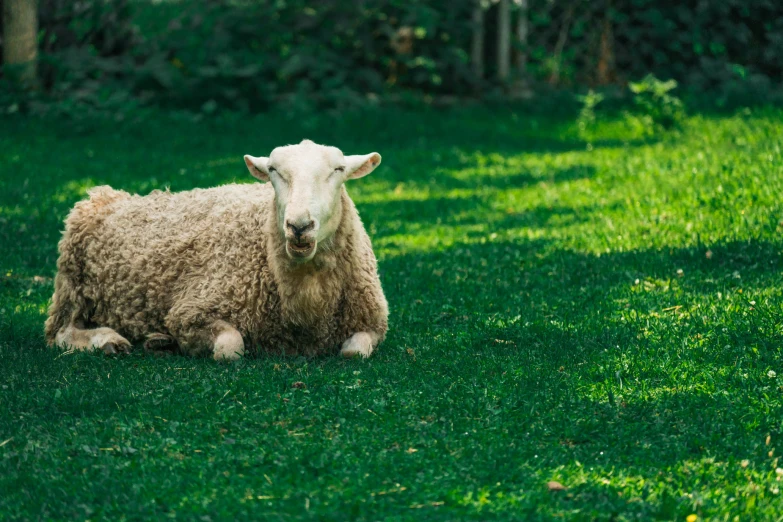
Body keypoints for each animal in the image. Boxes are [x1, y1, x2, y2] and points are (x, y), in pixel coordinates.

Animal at [43, 138, 388, 360]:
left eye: (338, 170)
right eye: (273, 171)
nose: (299, 226)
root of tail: (104, 196)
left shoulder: (373, 323)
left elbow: (354, 353)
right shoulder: (191, 311)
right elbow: (230, 350)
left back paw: (157, 340)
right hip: (73, 290)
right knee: (60, 333)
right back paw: (108, 341)